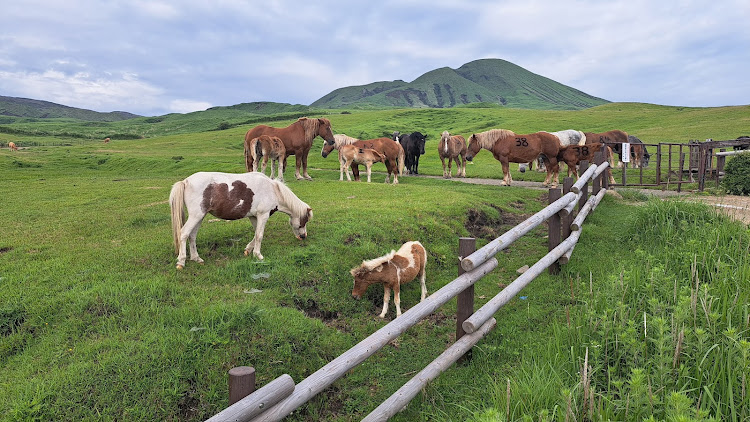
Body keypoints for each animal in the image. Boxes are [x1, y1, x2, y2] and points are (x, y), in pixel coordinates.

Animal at [169, 171, 312, 268]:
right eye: (304, 221)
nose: (303, 236)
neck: (273, 190)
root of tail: (185, 181)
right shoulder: (263, 215)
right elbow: (259, 235)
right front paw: (258, 255)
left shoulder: (254, 217)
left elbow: (256, 234)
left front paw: (248, 250)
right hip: (196, 216)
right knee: (184, 233)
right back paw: (181, 261)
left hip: (200, 217)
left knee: (192, 236)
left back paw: (196, 258)